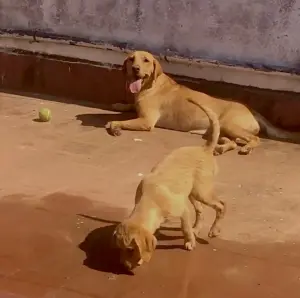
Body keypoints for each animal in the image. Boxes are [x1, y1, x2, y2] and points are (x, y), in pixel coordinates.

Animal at [106, 50, 300, 155]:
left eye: (145, 60)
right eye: (131, 59)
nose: (135, 68)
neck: (150, 84)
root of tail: (251, 109)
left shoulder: (146, 121)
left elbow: (118, 121)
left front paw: (114, 125)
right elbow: (130, 106)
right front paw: (120, 105)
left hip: (229, 125)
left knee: (255, 138)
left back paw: (246, 148)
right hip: (220, 130)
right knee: (232, 142)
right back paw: (222, 148)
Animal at [111, 101, 224, 272]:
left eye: (131, 250)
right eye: (120, 249)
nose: (123, 267)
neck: (150, 200)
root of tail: (205, 148)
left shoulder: (182, 210)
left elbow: (185, 228)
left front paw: (189, 242)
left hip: (201, 191)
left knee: (221, 205)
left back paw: (213, 231)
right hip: (191, 193)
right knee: (201, 210)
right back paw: (197, 229)